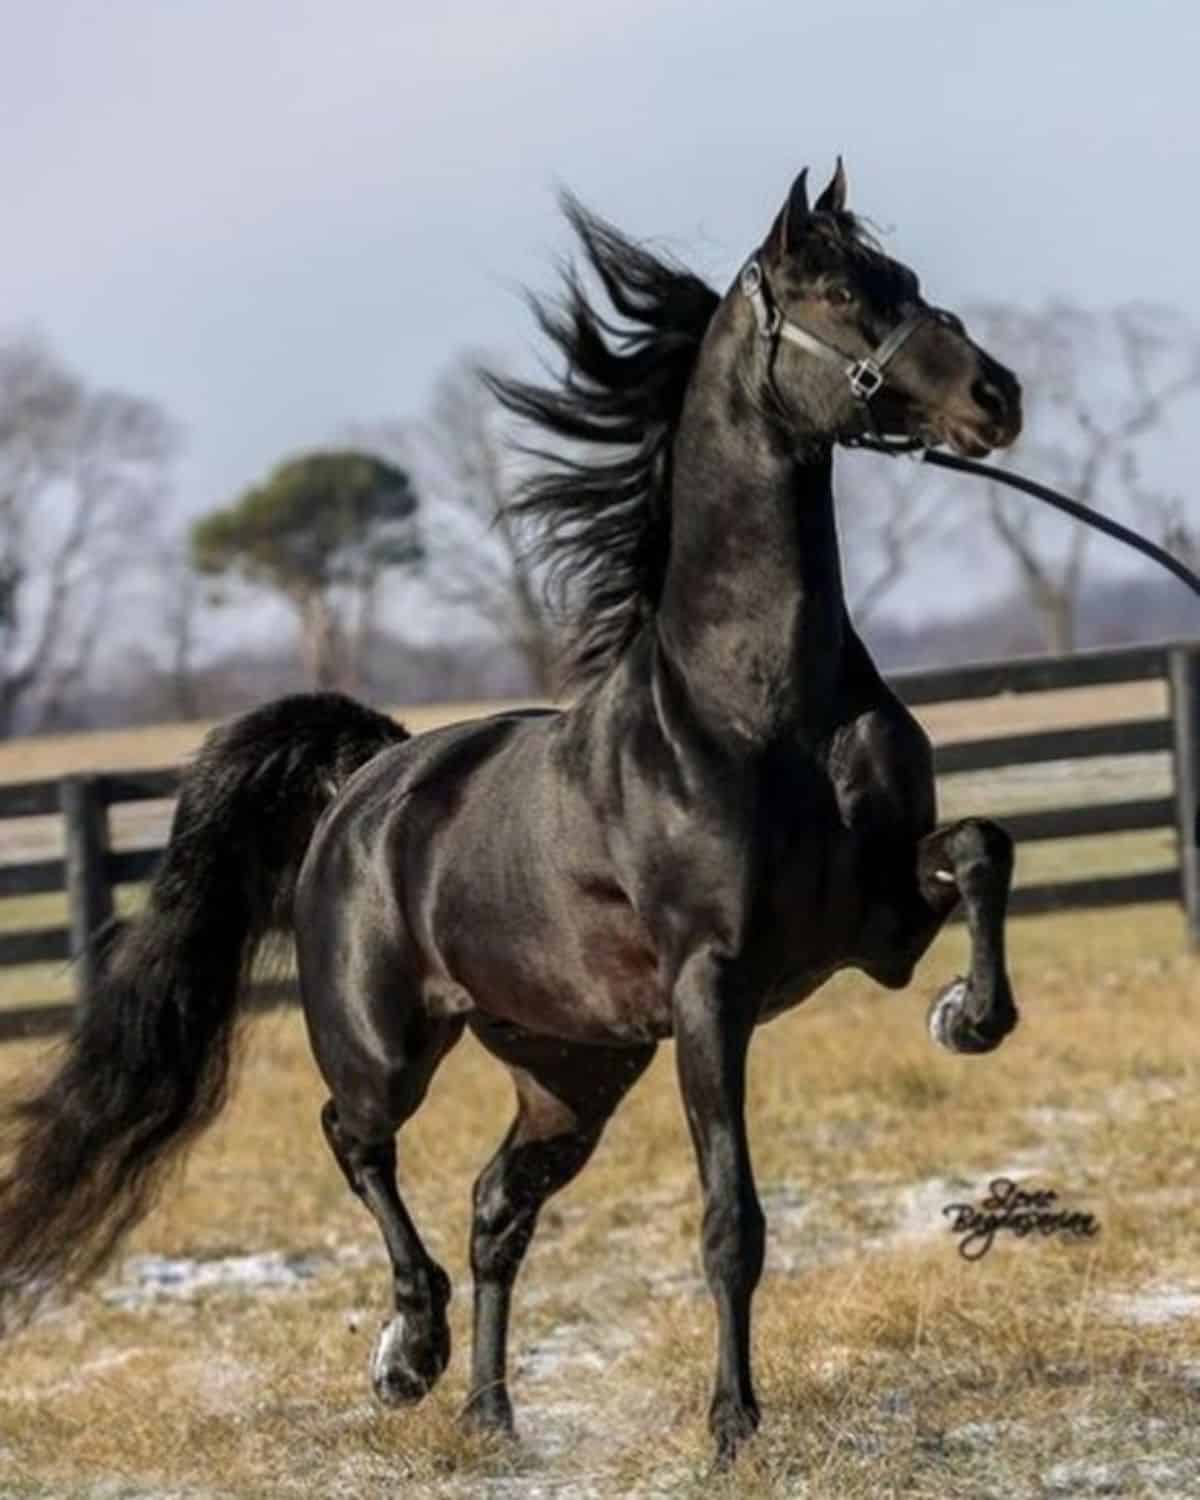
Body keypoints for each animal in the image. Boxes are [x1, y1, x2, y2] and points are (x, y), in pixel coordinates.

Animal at [0, 167, 1020, 1464]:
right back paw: (408, 1354)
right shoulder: (714, 983)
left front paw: (969, 1018)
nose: (998, 397)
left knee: (496, 1205)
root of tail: (370, 781)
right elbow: (730, 1218)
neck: (761, 704)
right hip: (389, 1045)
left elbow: (982, 849)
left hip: (574, 1071)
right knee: (356, 1138)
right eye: (841, 294)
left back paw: (490, 1413)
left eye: (910, 279)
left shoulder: (873, 923)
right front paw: (733, 1423)